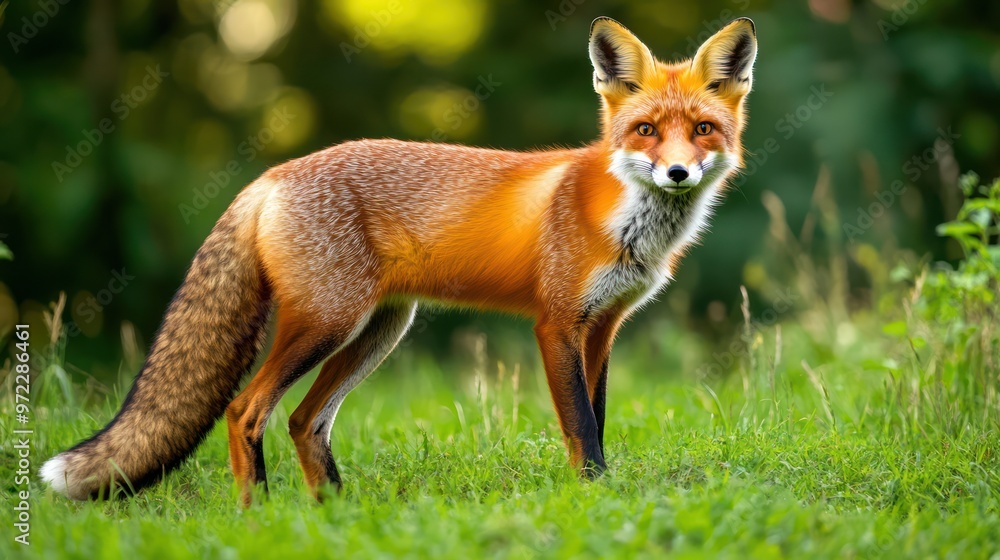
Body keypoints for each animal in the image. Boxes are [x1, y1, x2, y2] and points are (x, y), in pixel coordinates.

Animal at [41, 17, 757, 505]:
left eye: (702, 130)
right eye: (645, 130)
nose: (676, 172)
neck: (623, 219)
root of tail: (270, 176)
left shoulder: (603, 328)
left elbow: (599, 421)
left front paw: (600, 495)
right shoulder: (555, 323)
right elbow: (581, 427)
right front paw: (593, 499)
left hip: (378, 331)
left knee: (304, 420)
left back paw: (333, 513)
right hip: (326, 323)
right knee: (247, 410)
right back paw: (259, 515)